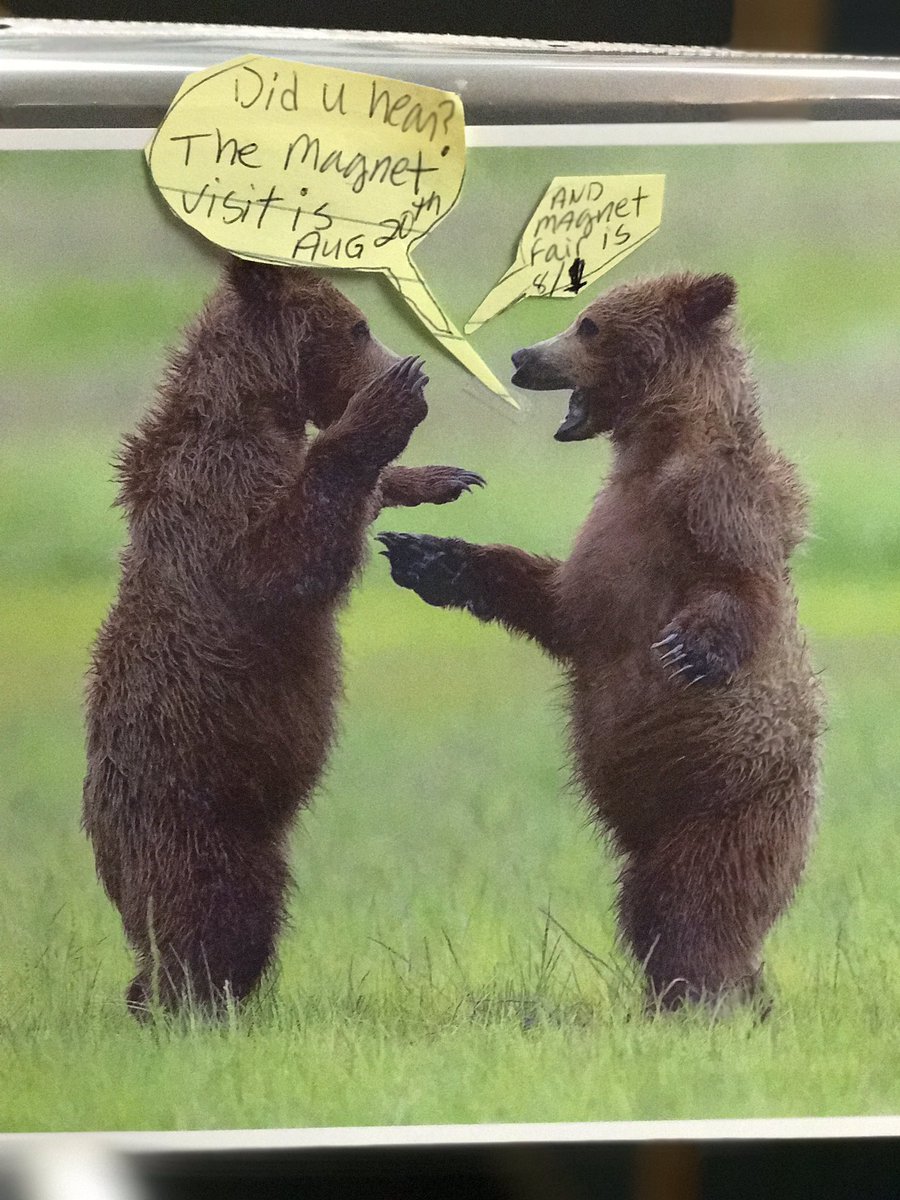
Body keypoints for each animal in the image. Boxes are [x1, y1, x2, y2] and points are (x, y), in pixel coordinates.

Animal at [82, 258, 484, 1018]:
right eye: (358, 327)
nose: (416, 374)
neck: (257, 408)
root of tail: (102, 843)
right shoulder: (220, 496)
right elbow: (282, 562)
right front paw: (386, 409)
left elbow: (354, 504)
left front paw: (441, 476)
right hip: (194, 815)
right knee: (211, 918)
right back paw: (187, 1002)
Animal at [378, 271, 824, 1012]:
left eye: (588, 324)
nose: (523, 355)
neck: (658, 449)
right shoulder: (609, 532)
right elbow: (562, 605)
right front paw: (426, 554)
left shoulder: (720, 499)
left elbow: (741, 585)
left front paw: (690, 650)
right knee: (651, 907)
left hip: (732, 804)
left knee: (694, 906)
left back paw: (704, 999)